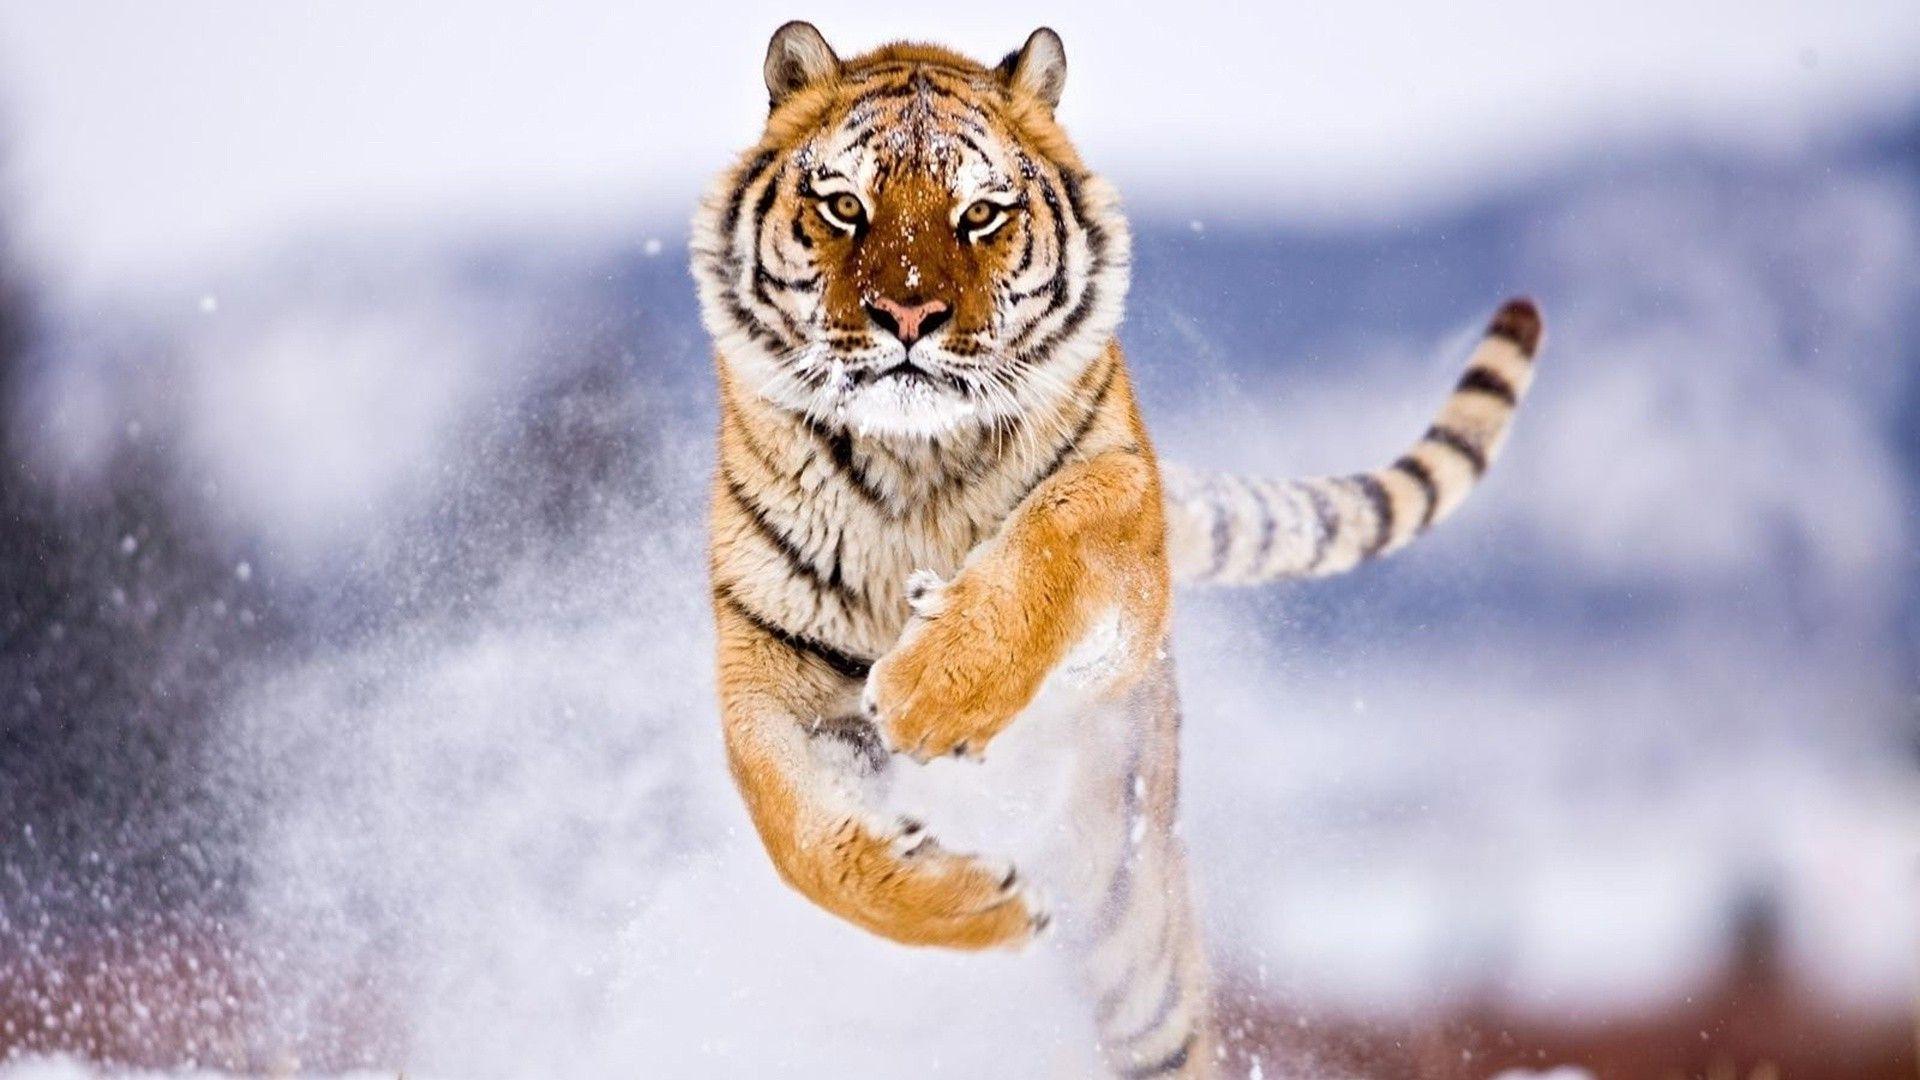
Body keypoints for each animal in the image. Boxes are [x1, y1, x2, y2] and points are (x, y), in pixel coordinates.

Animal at [690, 22, 1543, 1078]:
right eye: (844, 204)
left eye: (980, 214)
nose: (910, 316)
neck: (913, 460)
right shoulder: (770, 663)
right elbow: (798, 835)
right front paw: (975, 901)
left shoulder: (1125, 538)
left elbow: (1060, 527)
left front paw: (934, 691)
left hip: (1135, 937)